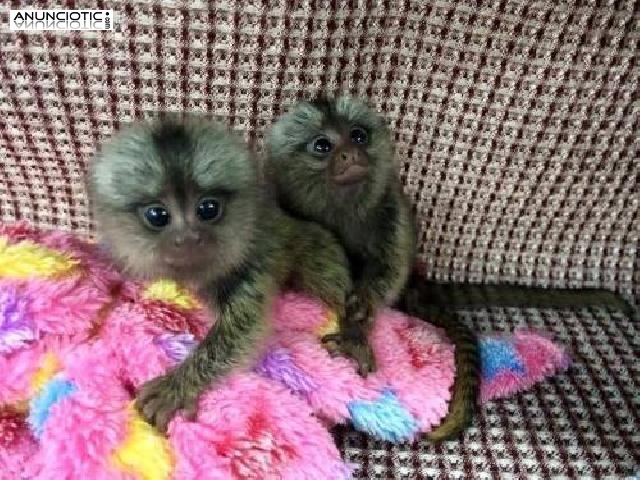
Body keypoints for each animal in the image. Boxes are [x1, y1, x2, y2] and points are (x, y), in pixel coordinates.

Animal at [88, 116, 354, 432]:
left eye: (208, 209)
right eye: (157, 216)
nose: (188, 238)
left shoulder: (252, 264)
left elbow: (241, 331)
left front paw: (179, 385)